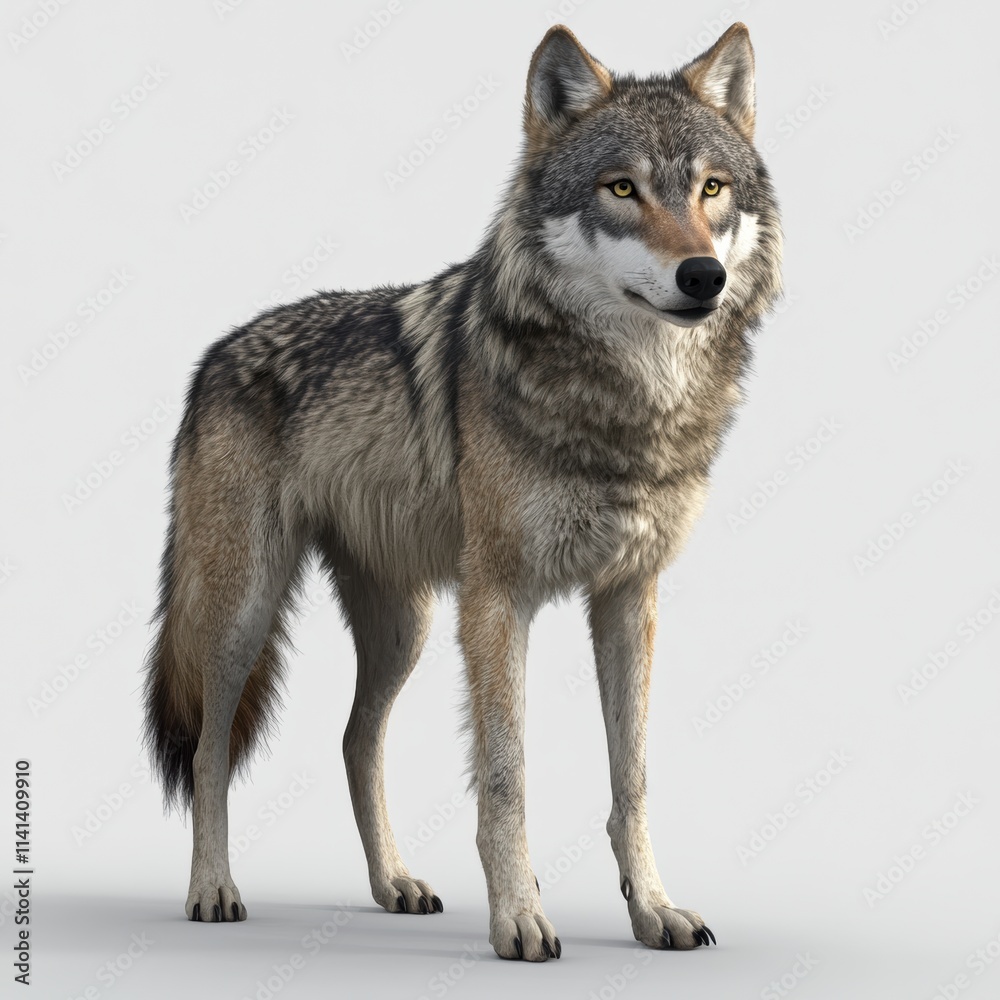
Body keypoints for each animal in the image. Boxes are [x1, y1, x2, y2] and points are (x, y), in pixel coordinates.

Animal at [142, 22, 782, 961]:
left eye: (711, 188)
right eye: (621, 188)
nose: (703, 276)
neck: (624, 406)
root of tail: (212, 355)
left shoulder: (629, 596)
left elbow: (631, 779)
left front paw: (653, 909)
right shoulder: (497, 598)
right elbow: (505, 776)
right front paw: (519, 917)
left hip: (403, 628)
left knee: (353, 739)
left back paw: (393, 884)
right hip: (242, 614)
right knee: (208, 752)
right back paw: (212, 889)